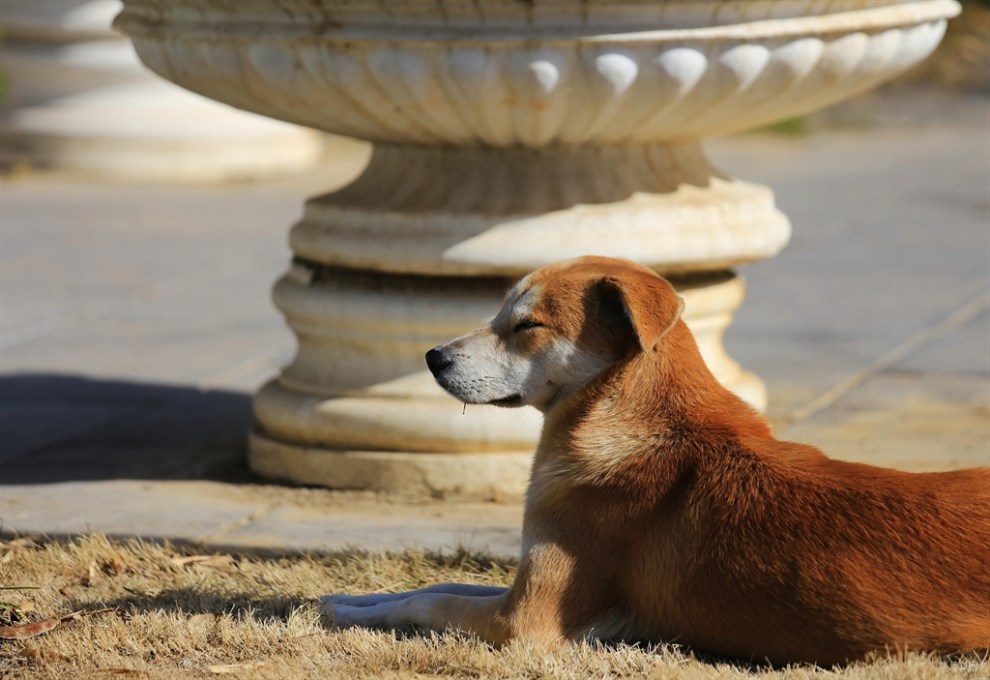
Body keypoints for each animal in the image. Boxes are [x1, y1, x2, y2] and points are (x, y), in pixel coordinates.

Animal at [326, 255, 990, 664]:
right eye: (498, 314)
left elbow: (432, 601)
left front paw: (351, 609)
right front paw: (356, 600)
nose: (433, 356)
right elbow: (439, 583)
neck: (628, 415)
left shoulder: (526, 621)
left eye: (528, 324)